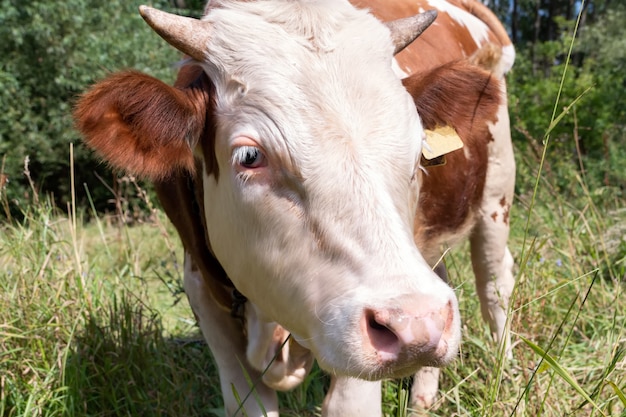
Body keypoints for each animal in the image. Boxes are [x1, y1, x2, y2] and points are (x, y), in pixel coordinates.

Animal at [72, 0, 512, 414]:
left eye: (418, 149)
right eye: (250, 156)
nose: (416, 324)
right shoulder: (200, 283)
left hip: (495, 198)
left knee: (495, 285)